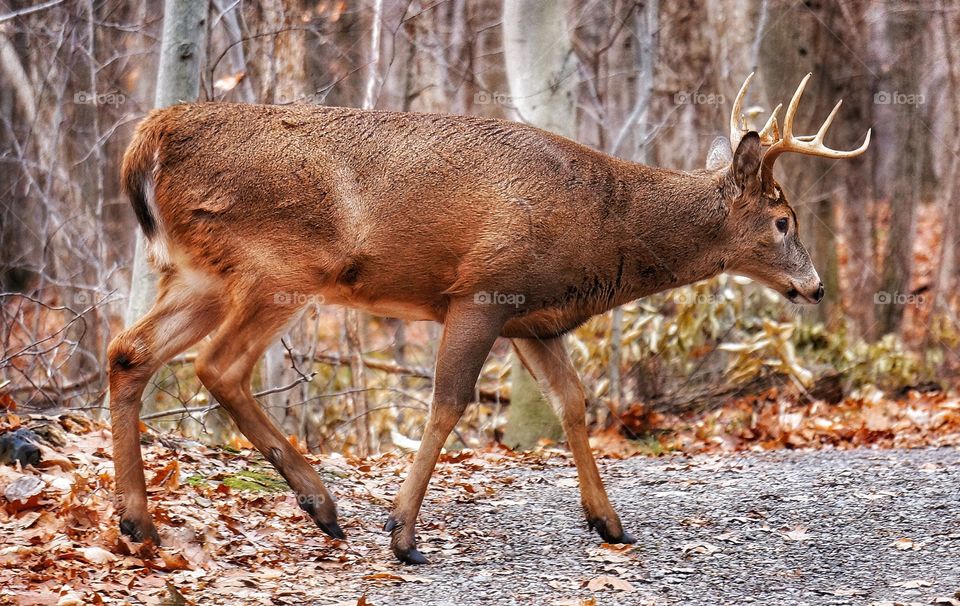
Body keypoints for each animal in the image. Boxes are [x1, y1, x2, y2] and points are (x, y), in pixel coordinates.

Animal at [110, 73, 872, 568]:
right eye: (782, 220)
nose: (814, 287)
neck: (605, 227)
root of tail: (148, 140)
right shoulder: (482, 292)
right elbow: (450, 400)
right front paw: (403, 534)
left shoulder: (534, 322)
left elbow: (572, 403)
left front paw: (610, 523)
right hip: (278, 268)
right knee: (218, 365)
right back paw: (319, 505)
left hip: (201, 274)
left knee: (130, 351)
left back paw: (141, 521)